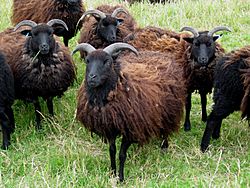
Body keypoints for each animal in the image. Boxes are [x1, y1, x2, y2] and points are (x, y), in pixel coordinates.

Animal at [71, 42, 187, 181]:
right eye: (87, 61)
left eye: (107, 61)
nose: (91, 77)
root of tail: (162, 54)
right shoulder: (110, 128)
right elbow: (112, 151)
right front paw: (112, 173)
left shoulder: (129, 129)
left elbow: (122, 154)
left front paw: (121, 178)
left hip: (169, 110)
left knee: (166, 129)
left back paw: (164, 147)